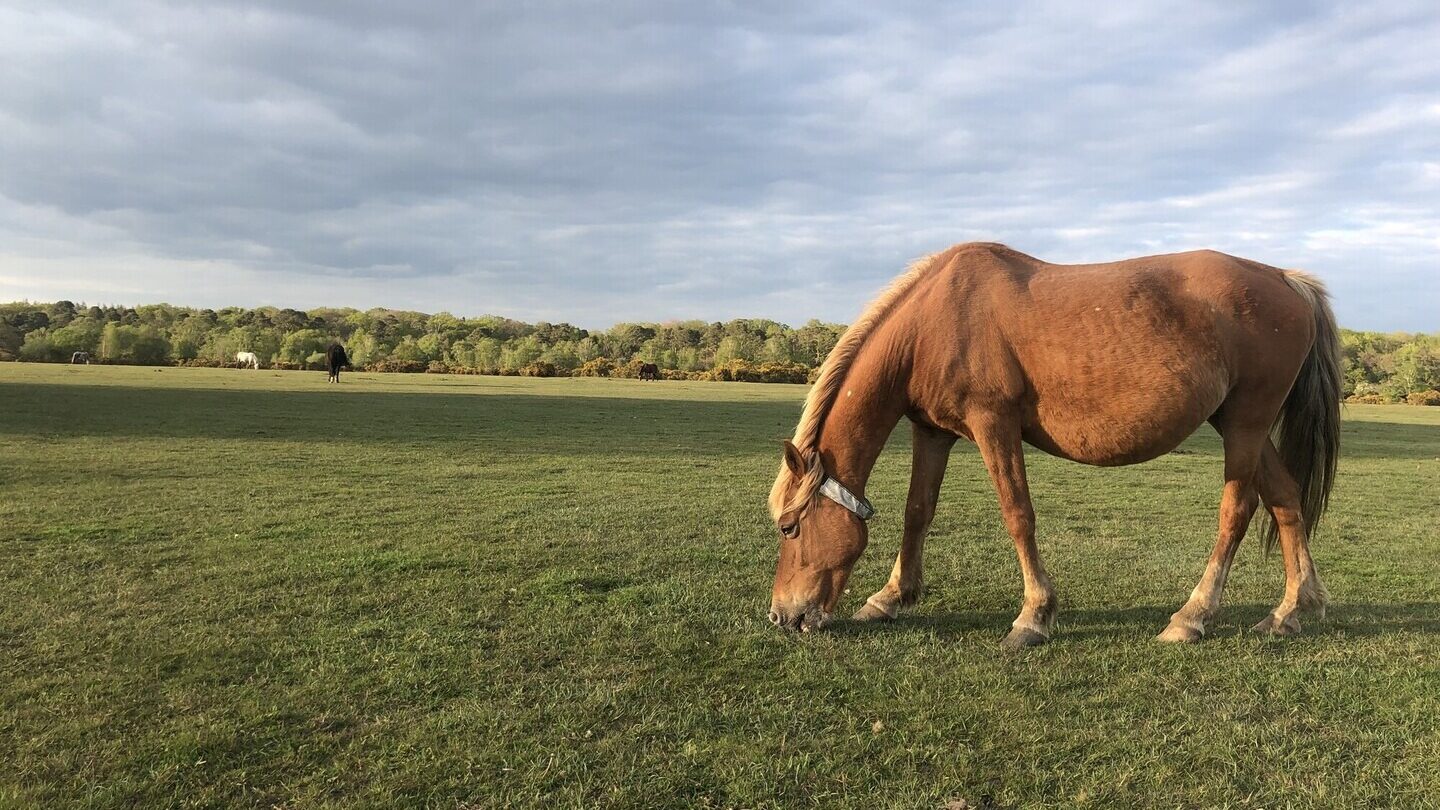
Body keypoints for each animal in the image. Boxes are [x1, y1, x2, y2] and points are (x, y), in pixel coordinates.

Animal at [767, 243, 1340, 648]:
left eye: (789, 527)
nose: (782, 615)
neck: (934, 321)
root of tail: (1284, 280)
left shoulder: (993, 424)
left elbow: (1017, 514)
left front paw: (1033, 616)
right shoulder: (933, 432)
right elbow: (918, 512)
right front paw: (890, 597)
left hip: (1246, 424)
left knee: (1237, 512)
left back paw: (1192, 616)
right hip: (1241, 426)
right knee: (1285, 500)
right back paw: (1291, 610)